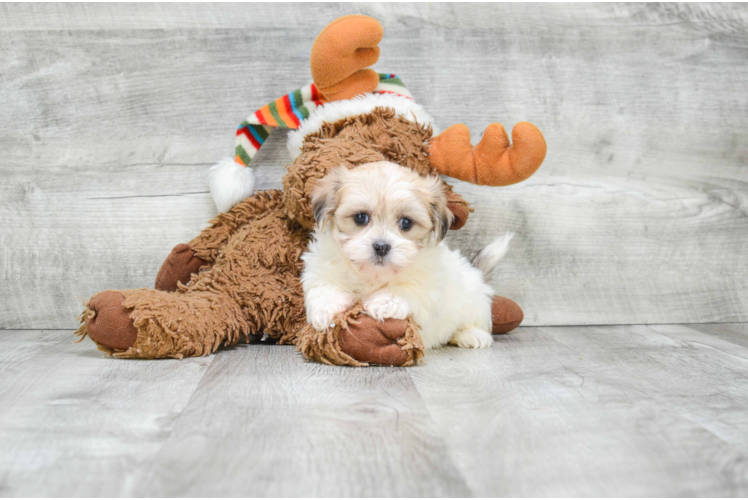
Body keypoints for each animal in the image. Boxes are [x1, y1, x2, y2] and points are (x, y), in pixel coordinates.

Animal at [300, 162, 512, 350]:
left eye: (406, 223)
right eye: (360, 217)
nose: (381, 246)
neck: (373, 275)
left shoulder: (428, 283)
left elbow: (406, 288)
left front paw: (385, 302)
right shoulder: (321, 268)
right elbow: (323, 286)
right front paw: (326, 309)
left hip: (476, 303)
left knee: (473, 323)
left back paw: (471, 335)